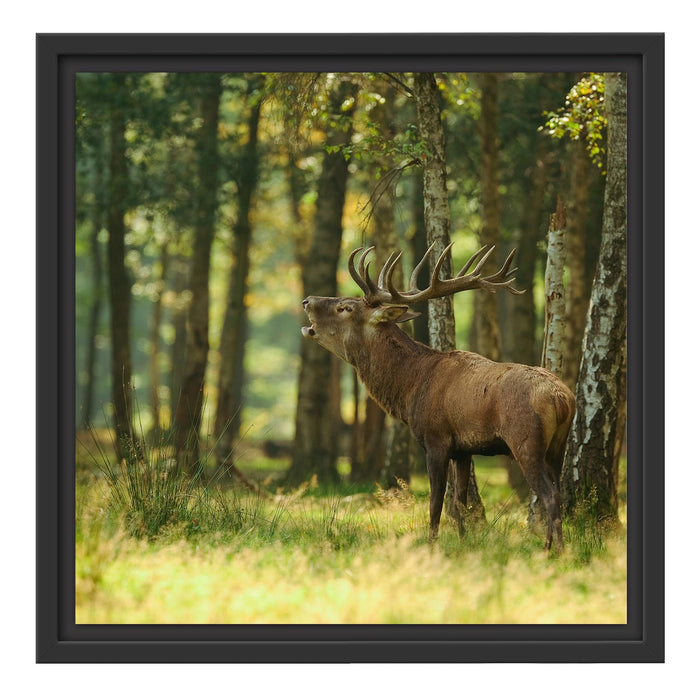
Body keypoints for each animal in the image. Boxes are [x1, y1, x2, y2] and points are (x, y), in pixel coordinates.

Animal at [301, 243, 576, 553]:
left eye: (345, 307)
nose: (307, 300)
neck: (410, 388)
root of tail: (562, 399)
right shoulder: (464, 450)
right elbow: (459, 503)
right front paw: (464, 542)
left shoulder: (435, 439)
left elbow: (436, 503)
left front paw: (431, 545)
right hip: (558, 446)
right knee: (558, 492)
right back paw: (551, 547)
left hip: (526, 441)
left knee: (549, 495)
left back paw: (554, 551)